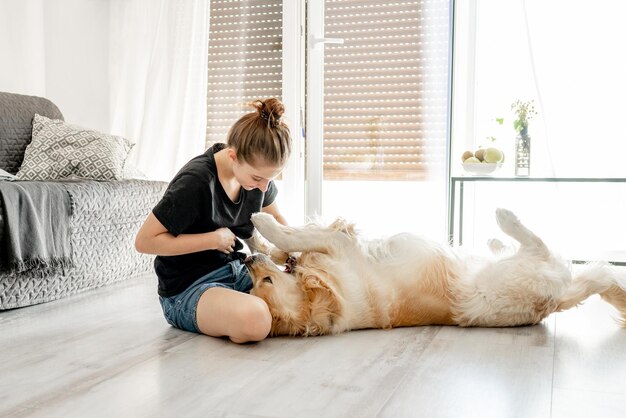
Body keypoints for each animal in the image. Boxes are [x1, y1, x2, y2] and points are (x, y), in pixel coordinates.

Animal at [244, 209, 624, 336]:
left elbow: (294, 239)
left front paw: (262, 234)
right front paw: (263, 226)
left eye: (265, 280)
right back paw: (504, 222)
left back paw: (497, 235)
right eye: (252, 288)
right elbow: (300, 235)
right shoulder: (340, 245)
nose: (247, 264)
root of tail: (553, 302)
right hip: (521, 268)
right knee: (538, 244)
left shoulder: (339, 244)